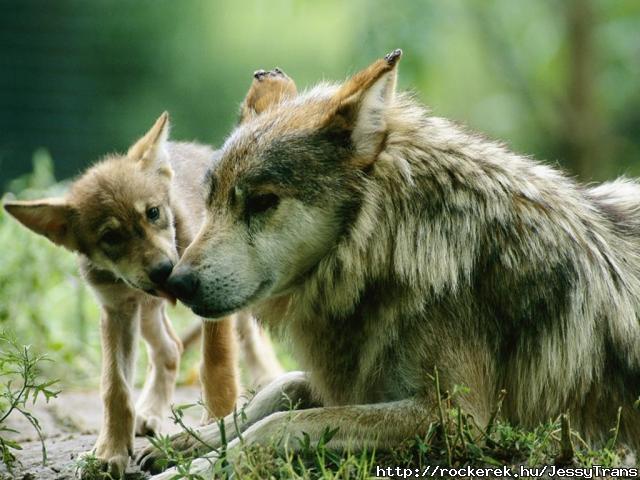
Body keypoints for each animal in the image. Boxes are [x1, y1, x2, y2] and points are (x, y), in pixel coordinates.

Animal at [140, 48, 640, 476]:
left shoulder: (458, 418)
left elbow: (277, 425)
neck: (397, 246)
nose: (177, 282)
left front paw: (192, 469)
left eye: (262, 202)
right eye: (212, 201)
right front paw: (180, 445)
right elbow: (274, 393)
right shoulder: (355, 379)